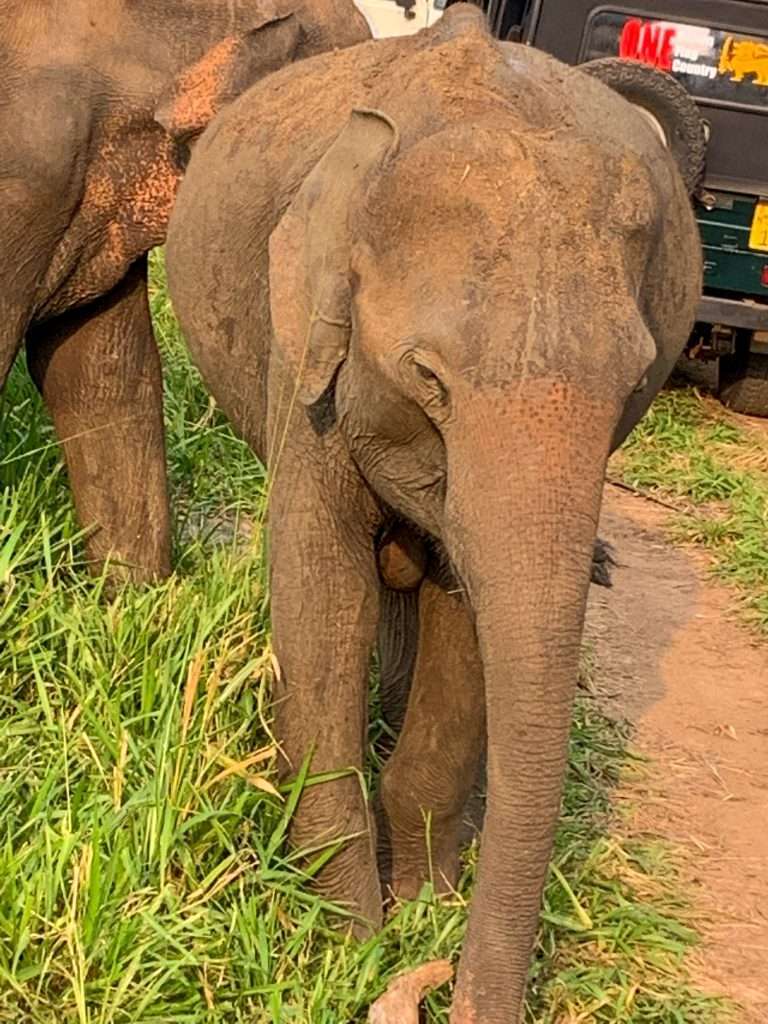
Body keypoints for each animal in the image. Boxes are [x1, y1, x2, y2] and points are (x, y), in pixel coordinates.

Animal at [164, 5, 704, 1022]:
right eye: (426, 377)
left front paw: (420, 905)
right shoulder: (305, 358)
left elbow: (470, 621)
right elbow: (320, 597)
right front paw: (343, 946)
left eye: (633, 385)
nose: (445, 979)